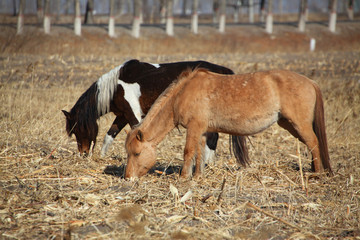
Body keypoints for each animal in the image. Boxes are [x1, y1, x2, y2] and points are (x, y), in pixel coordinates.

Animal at [63, 60, 238, 164]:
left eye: (78, 129)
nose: (83, 153)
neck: (115, 87)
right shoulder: (122, 116)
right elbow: (109, 136)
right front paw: (102, 156)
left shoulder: (133, 114)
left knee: (213, 138)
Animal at [126, 68, 332, 179]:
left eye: (137, 153)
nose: (128, 177)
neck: (183, 93)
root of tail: (310, 81)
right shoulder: (202, 131)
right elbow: (200, 152)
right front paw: (198, 176)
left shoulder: (194, 128)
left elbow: (188, 151)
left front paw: (184, 177)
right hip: (289, 124)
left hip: (299, 124)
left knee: (313, 142)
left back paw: (317, 174)